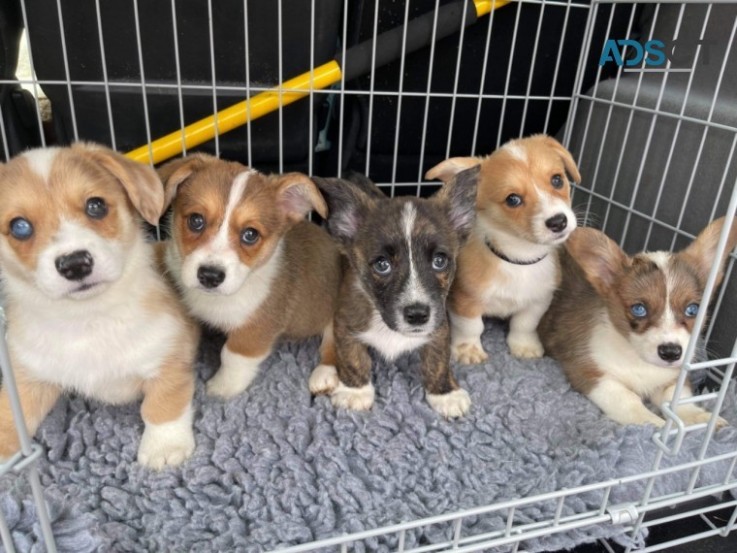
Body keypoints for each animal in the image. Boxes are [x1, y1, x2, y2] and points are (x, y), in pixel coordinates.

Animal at [0, 141, 198, 466]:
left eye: (96, 206)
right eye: (19, 227)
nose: (75, 264)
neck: (89, 317)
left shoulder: (168, 358)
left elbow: (162, 405)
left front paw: (164, 447)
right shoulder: (29, 377)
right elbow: (8, 417)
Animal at [159, 153, 342, 398]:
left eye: (250, 234)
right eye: (196, 220)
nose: (210, 276)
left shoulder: (254, 332)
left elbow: (231, 357)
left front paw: (221, 388)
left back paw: (324, 375)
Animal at [310, 170, 478, 416]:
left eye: (439, 261)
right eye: (382, 265)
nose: (417, 315)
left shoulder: (439, 326)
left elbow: (437, 360)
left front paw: (445, 393)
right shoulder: (345, 323)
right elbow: (352, 357)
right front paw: (355, 391)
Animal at [426, 136, 580, 364]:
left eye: (557, 180)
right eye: (513, 199)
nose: (558, 222)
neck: (519, 258)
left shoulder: (538, 300)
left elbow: (524, 325)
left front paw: (524, 347)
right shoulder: (465, 301)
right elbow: (471, 327)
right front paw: (468, 351)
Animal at [536, 218, 736, 424]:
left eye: (692, 309)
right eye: (639, 309)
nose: (671, 353)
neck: (639, 360)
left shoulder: (671, 379)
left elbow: (678, 399)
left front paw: (700, 418)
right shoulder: (589, 373)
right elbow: (627, 400)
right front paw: (653, 423)